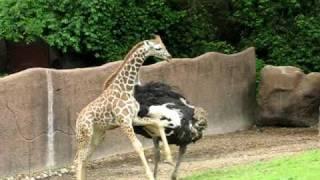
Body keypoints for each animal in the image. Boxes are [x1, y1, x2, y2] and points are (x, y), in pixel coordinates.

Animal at [74, 35, 174, 180]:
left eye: (164, 45)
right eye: (158, 48)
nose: (169, 56)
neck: (126, 88)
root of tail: (77, 120)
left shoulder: (134, 118)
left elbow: (158, 123)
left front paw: (169, 158)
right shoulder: (125, 122)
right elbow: (138, 146)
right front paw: (150, 175)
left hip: (98, 135)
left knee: (84, 158)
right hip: (85, 135)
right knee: (78, 158)